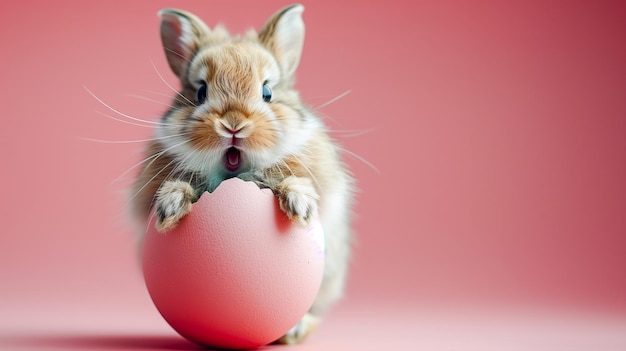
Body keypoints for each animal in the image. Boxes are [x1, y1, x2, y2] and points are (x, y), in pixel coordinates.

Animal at [129, 3, 354, 344]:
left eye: (267, 92)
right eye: (200, 91)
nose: (233, 124)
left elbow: (298, 184)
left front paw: (300, 206)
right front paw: (169, 206)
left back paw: (295, 330)